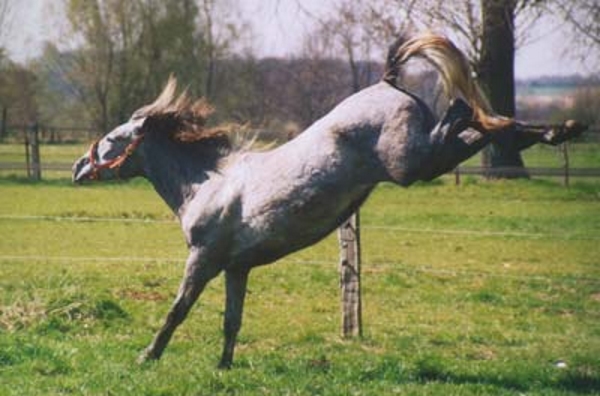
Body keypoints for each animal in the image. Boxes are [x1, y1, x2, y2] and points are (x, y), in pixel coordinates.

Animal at [72, 34, 584, 368]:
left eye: (113, 139)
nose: (79, 167)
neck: (207, 183)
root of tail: (388, 82)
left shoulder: (204, 258)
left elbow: (178, 309)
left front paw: (148, 355)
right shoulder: (237, 267)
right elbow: (231, 321)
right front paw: (223, 367)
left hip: (411, 166)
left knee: (464, 117)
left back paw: (540, 125)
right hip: (422, 162)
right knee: (487, 126)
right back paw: (561, 128)